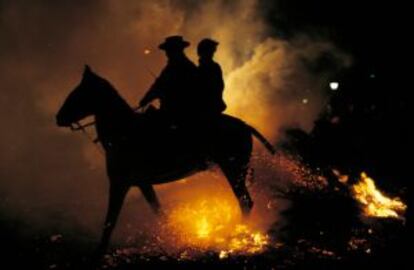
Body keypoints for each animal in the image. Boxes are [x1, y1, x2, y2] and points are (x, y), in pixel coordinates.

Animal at [55, 65, 274, 253]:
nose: (58, 117)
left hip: (232, 169)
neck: (124, 132)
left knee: (245, 202)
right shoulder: (142, 184)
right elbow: (158, 212)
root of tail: (245, 125)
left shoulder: (119, 184)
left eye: (78, 94)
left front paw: (99, 253)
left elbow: (110, 221)